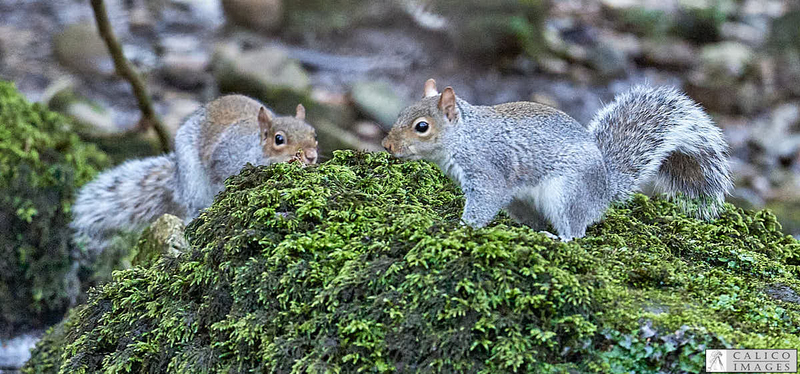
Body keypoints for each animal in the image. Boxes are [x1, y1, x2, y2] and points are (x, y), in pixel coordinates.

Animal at [70, 95, 318, 256]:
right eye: (279, 139)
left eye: (314, 135)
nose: (312, 156)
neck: (253, 148)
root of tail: (178, 177)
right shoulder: (224, 160)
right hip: (193, 182)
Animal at [384, 80, 736, 241]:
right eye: (400, 113)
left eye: (422, 127)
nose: (387, 145)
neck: (465, 135)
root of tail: (605, 189)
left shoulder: (488, 171)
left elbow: (483, 203)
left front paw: (460, 227)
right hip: (523, 203)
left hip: (566, 194)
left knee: (575, 234)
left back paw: (557, 238)